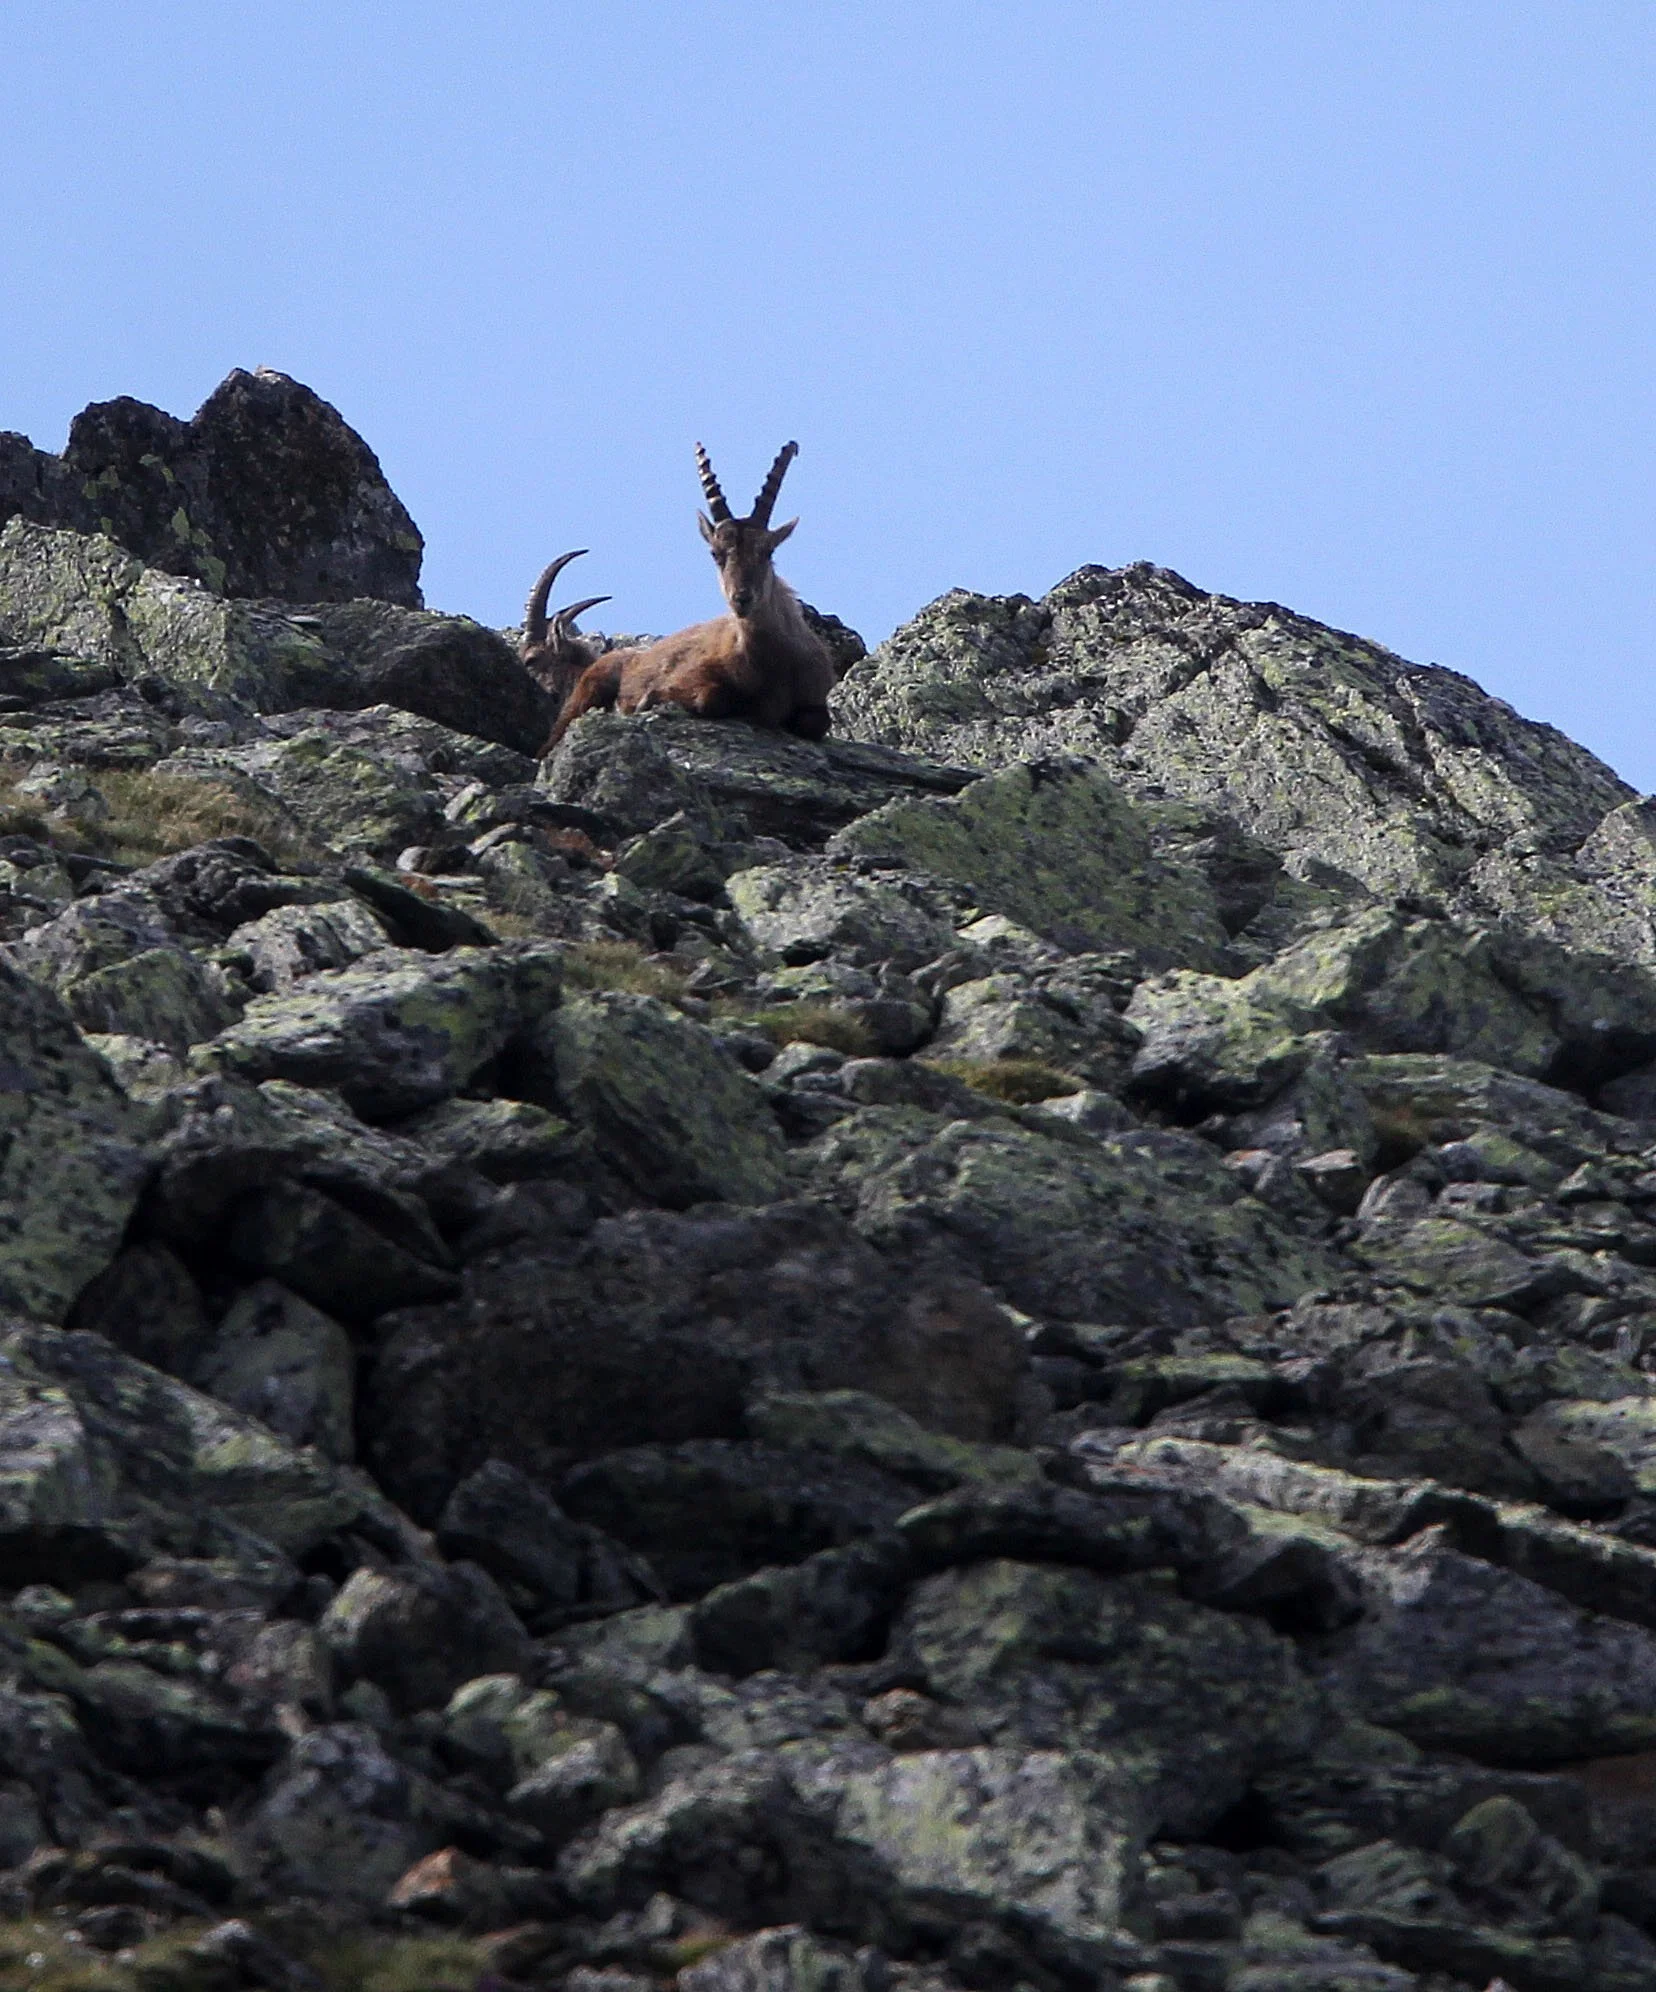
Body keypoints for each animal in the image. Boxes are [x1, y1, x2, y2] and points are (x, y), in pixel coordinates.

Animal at [542, 441, 837, 751]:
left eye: (767, 551)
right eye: (715, 554)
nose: (741, 598)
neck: (771, 661)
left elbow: (815, 722)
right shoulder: (694, 675)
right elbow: (709, 697)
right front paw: (648, 700)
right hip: (585, 695)